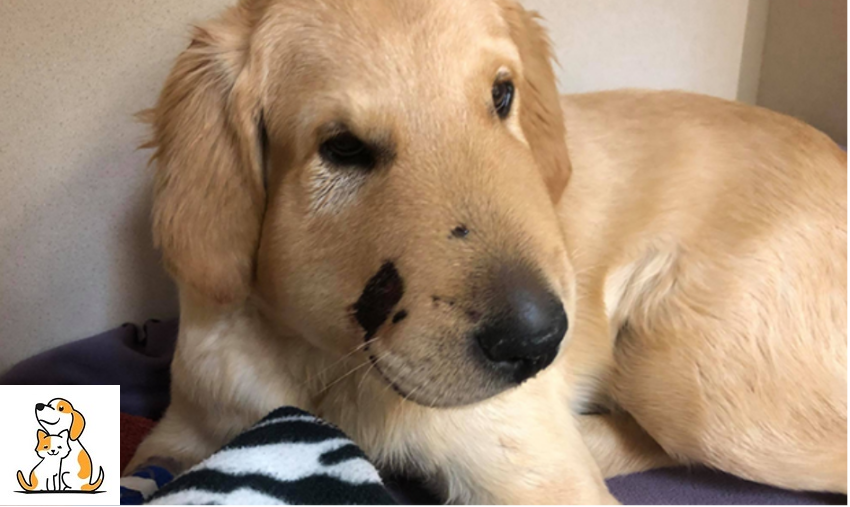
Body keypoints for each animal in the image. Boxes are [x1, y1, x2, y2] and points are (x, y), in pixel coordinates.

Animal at [124, 0, 840, 502]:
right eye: (343, 147)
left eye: (502, 94)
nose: (541, 342)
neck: (329, 368)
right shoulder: (185, 427)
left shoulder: (537, 473)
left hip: (689, 379)